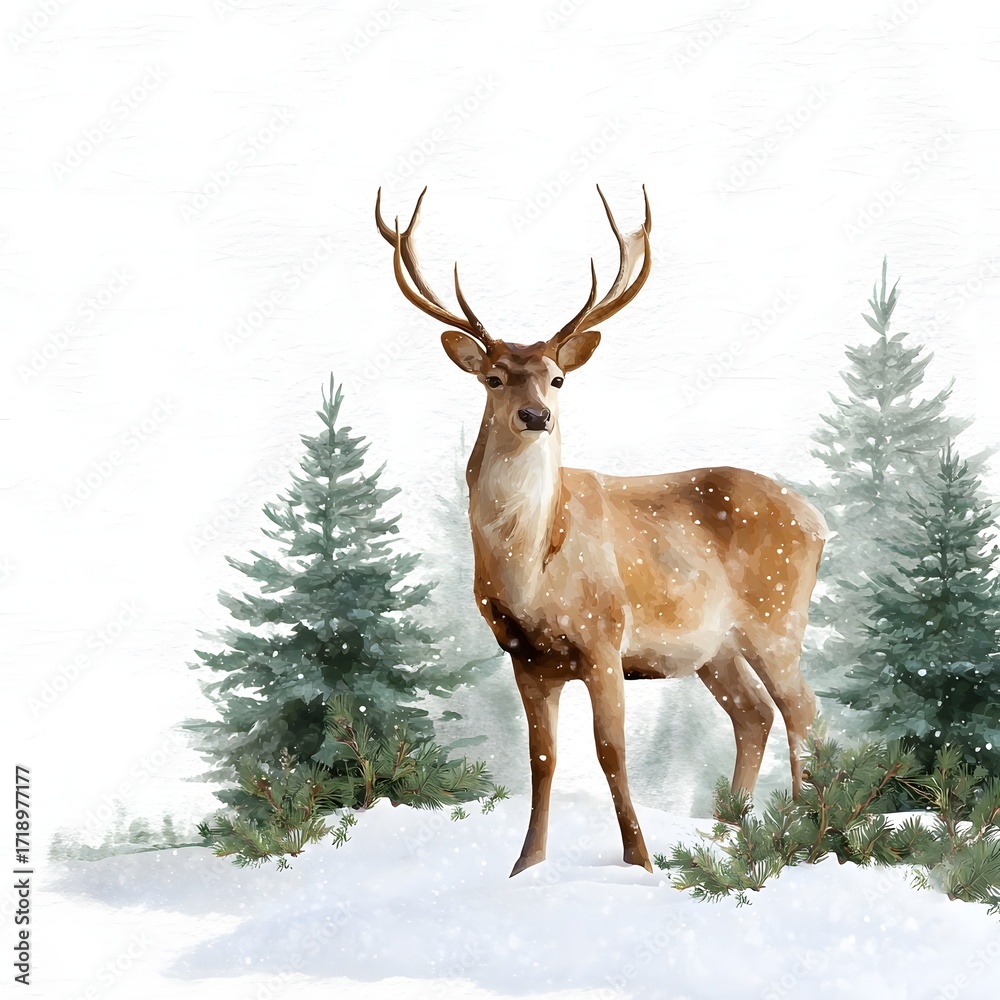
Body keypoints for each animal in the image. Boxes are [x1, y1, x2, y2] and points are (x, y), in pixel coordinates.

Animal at [375, 185, 827, 877]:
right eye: (494, 377)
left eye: (557, 378)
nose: (536, 415)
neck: (531, 573)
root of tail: (819, 519)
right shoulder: (525, 656)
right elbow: (542, 760)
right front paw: (526, 865)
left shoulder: (603, 636)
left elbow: (611, 750)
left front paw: (639, 861)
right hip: (715, 646)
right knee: (754, 714)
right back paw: (732, 830)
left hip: (776, 614)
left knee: (804, 710)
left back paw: (801, 836)